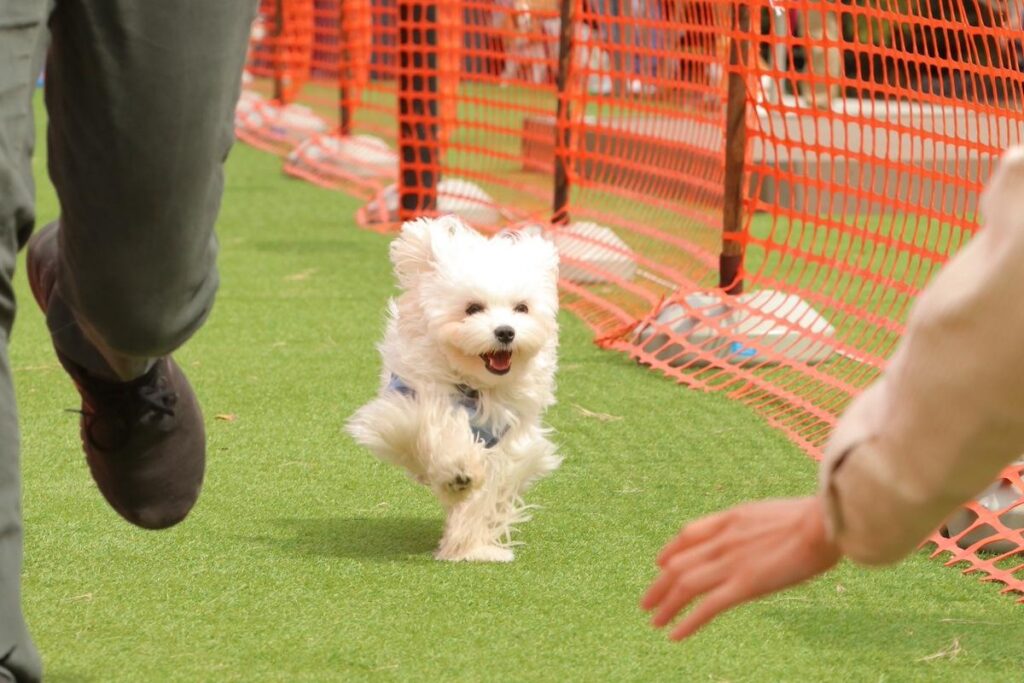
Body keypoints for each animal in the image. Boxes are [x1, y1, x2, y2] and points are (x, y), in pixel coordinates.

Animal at [348, 216, 565, 565]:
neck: (476, 385)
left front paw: (470, 546)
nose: (506, 332)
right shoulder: (414, 403)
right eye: (472, 308)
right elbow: (436, 432)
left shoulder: (507, 442)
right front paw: (458, 471)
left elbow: (488, 492)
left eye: (521, 308)